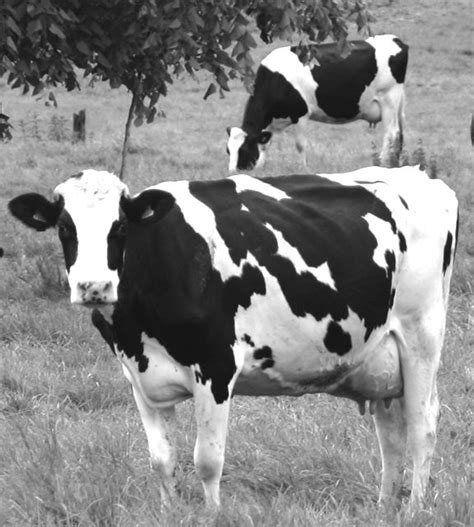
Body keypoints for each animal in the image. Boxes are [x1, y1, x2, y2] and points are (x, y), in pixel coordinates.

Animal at [8, 166, 460, 512]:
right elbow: (162, 460)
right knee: (391, 433)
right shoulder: (139, 377)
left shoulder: (216, 366)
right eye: (64, 228)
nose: (93, 286)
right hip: (380, 357)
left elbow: (207, 460)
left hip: (421, 336)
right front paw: (170, 513)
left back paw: (414, 509)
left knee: (422, 425)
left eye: (119, 228)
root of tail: (419, 175)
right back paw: (385, 507)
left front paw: (212, 515)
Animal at [226, 33, 408, 173]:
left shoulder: (301, 114)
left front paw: (302, 169)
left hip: (389, 98)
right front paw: (260, 169)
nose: (232, 173)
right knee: (399, 134)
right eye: (228, 150)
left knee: (391, 133)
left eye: (244, 150)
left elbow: (300, 145)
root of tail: (395, 39)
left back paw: (383, 164)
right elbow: (265, 145)